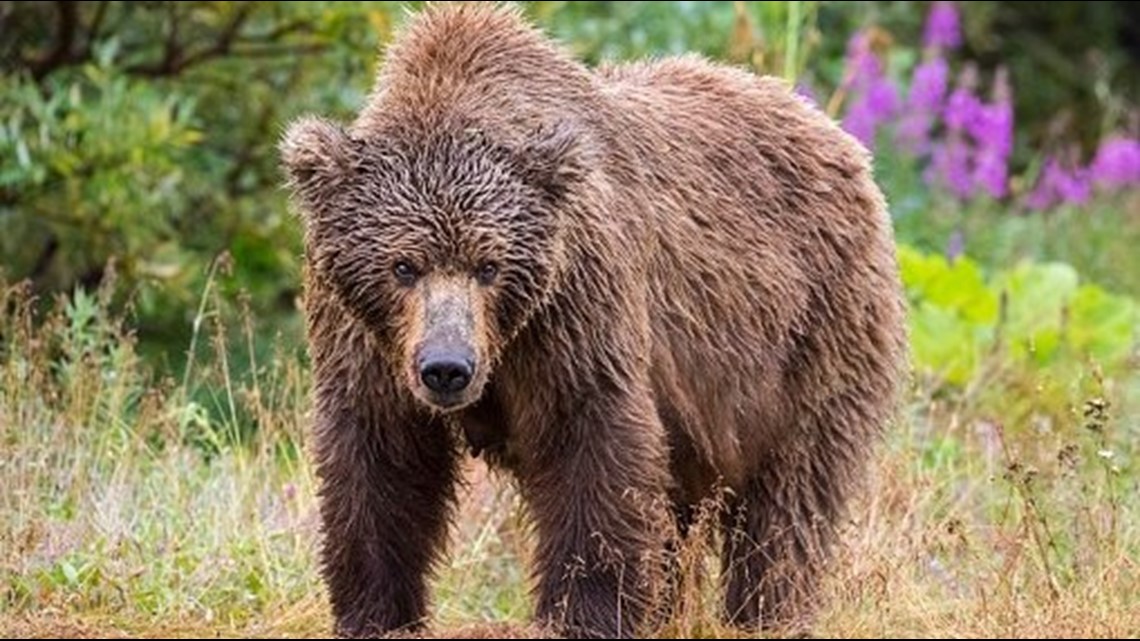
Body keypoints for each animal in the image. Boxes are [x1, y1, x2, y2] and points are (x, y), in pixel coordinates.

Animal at [282, 3, 907, 634]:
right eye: (403, 265)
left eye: (489, 265)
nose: (447, 367)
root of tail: (836, 135)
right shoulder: (366, 339)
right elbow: (380, 466)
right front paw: (375, 612)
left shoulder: (575, 307)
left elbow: (591, 444)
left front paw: (584, 611)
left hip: (811, 329)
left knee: (789, 495)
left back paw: (765, 611)